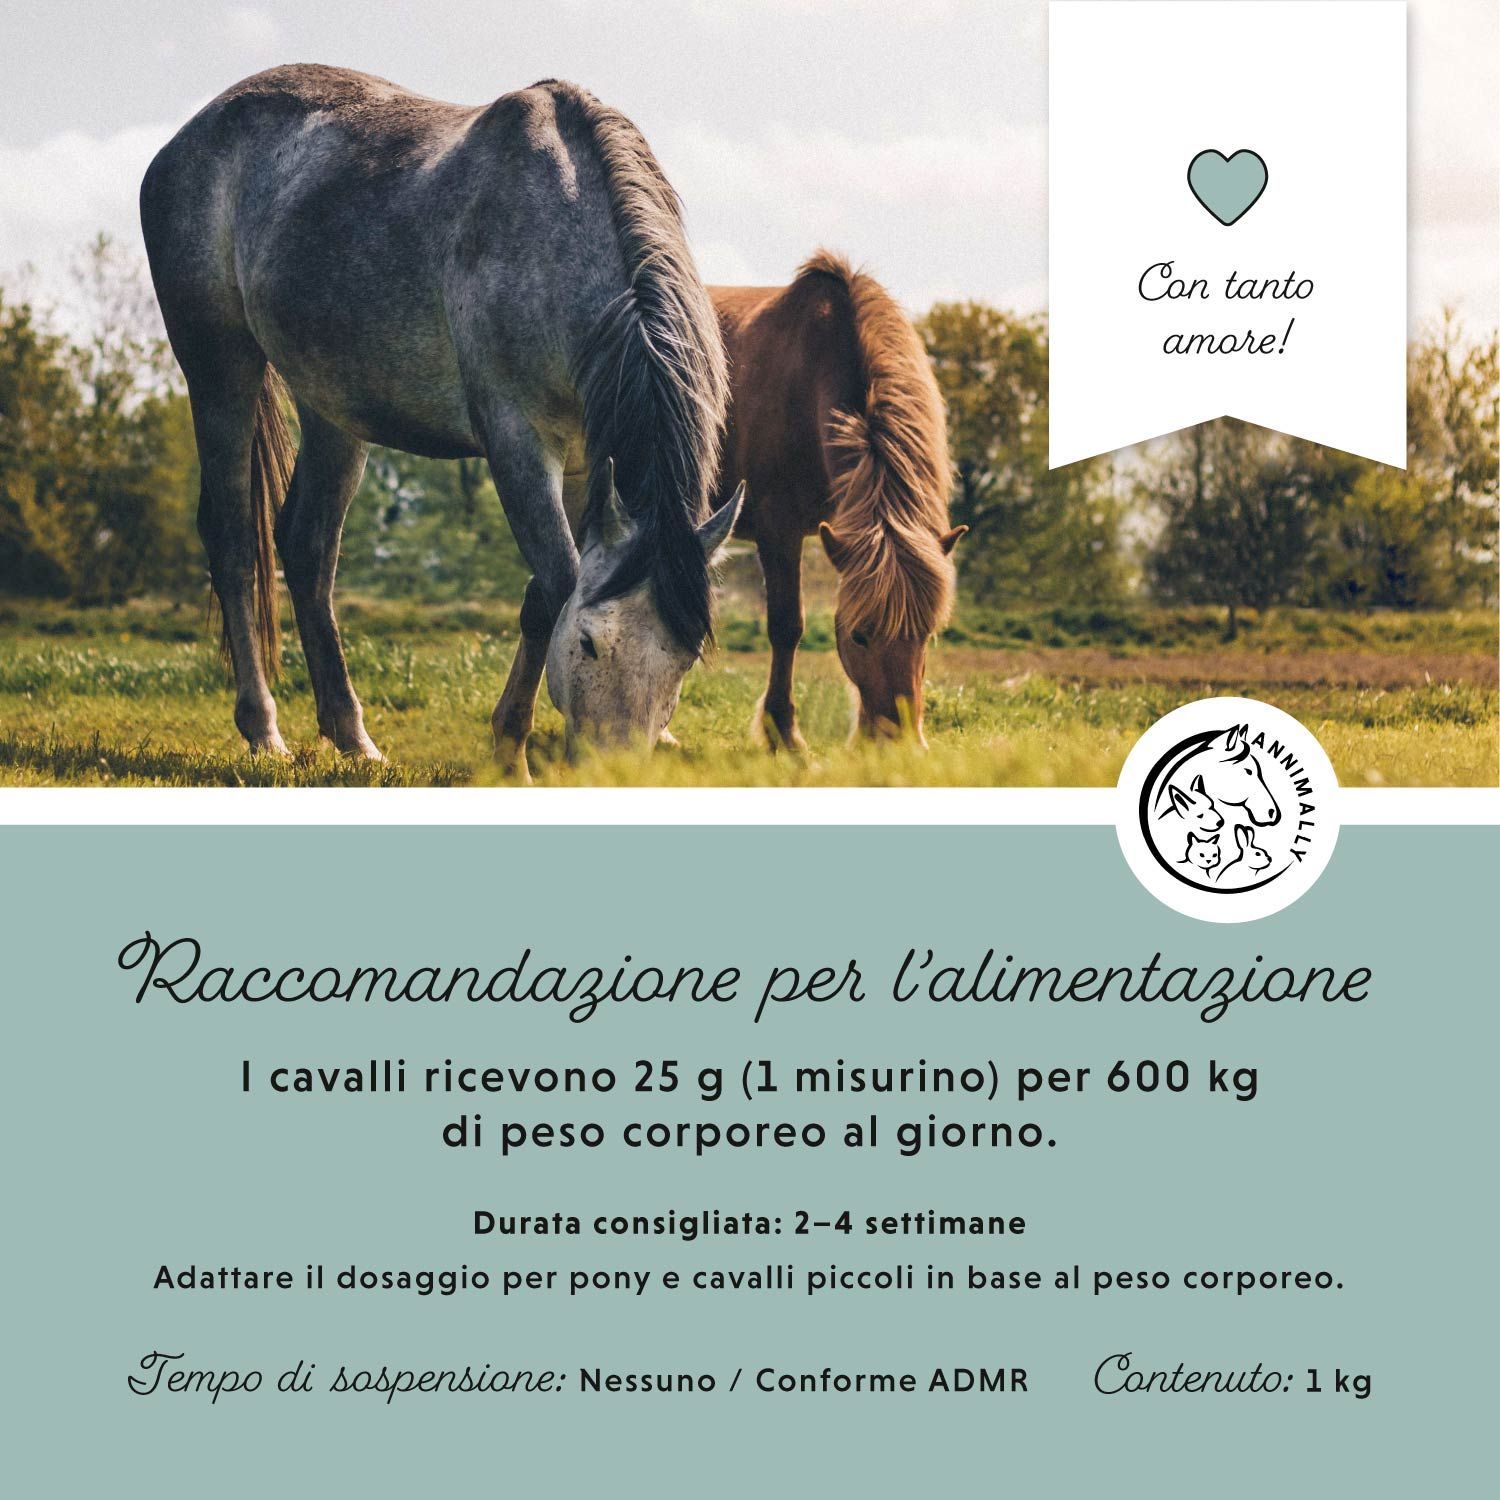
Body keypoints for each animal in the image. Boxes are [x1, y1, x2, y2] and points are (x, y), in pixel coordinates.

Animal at [140, 65, 741, 771]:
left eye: (684, 660)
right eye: (591, 643)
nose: (613, 774)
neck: (558, 231)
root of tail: (188, 137)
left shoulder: (585, 461)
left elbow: (544, 594)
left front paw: (507, 743)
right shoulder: (517, 442)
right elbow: (557, 584)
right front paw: (510, 753)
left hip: (332, 408)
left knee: (307, 547)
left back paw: (352, 737)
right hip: (219, 371)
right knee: (235, 541)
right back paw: (264, 730)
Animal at [709, 253, 964, 748]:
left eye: (926, 635)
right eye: (859, 636)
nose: (897, 742)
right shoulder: (778, 529)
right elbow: (787, 626)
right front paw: (784, 735)